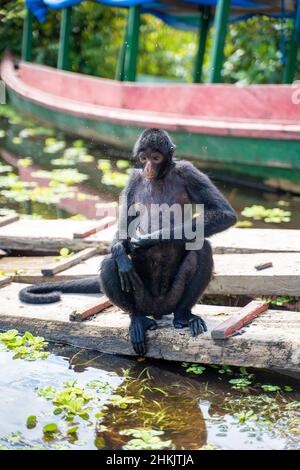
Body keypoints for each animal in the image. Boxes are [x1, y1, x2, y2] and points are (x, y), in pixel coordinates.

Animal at [18, 129, 237, 356]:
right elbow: (122, 235)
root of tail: (158, 310)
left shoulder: (187, 170)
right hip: (142, 299)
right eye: (144, 158)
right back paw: (137, 317)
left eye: (155, 158)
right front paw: (122, 252)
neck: (160, 176)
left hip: (173, 297)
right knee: (110, 263)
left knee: (202, 247)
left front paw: (147, 240)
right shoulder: (134, 178)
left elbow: (225, 214)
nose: (148, 167)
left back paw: (183, 315)